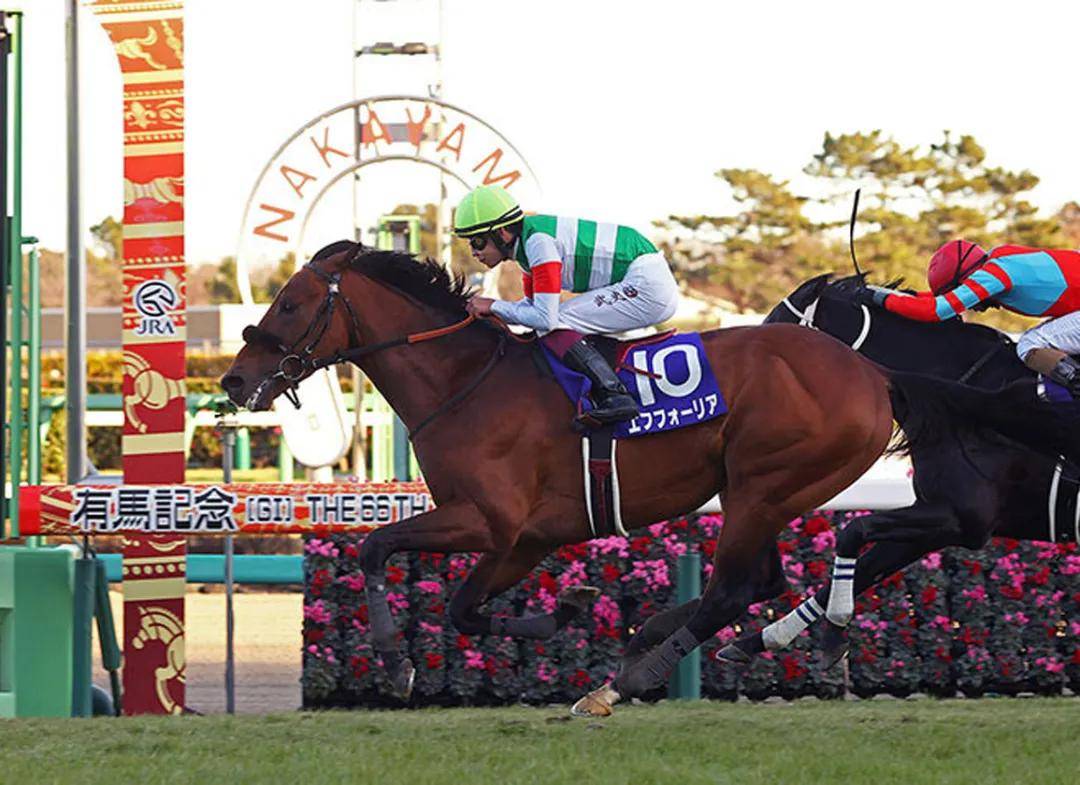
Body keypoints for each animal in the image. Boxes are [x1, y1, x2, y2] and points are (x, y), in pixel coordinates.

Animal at [718, 273, 1080, 668]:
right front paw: (758, 640)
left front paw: (834, 633)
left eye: (776, 332)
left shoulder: (965, 518)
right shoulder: (939, 521)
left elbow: (853, 532)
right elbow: (859, 571)